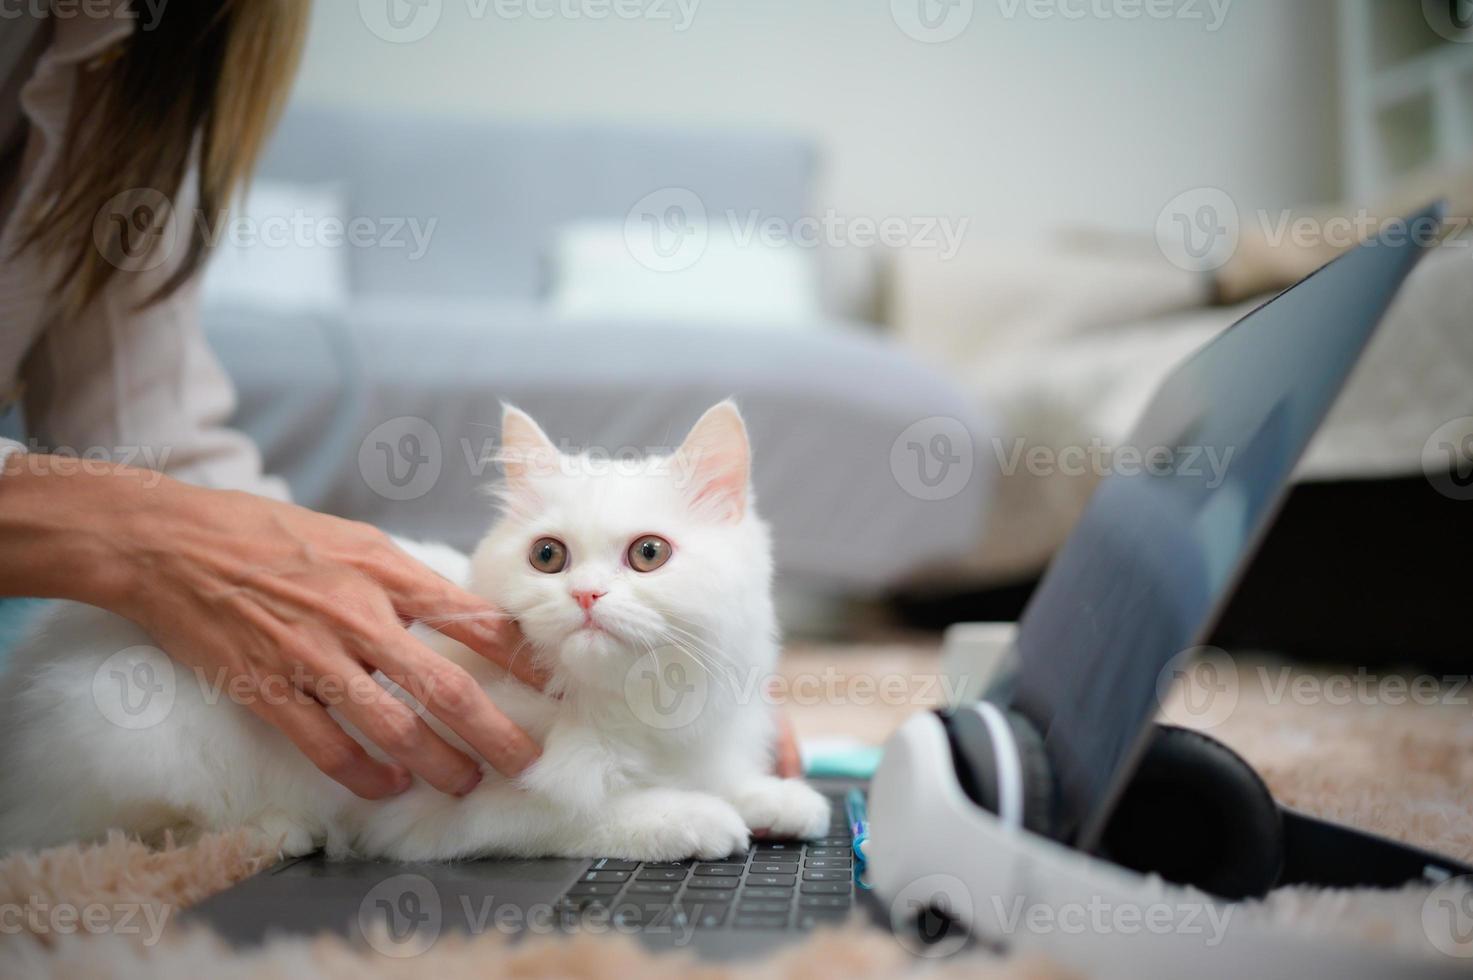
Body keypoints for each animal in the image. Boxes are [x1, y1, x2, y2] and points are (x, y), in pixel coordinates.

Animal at [0, 397, 830, 854]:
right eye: (549, 557)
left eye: (648, 554)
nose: (586, 596)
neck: (625, 706)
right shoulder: (443, 814)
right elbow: (591, 814)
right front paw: (695, 818)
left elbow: (721, 775)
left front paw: (775, 800)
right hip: (135, 728)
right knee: (129, 833)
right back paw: (273, 833)